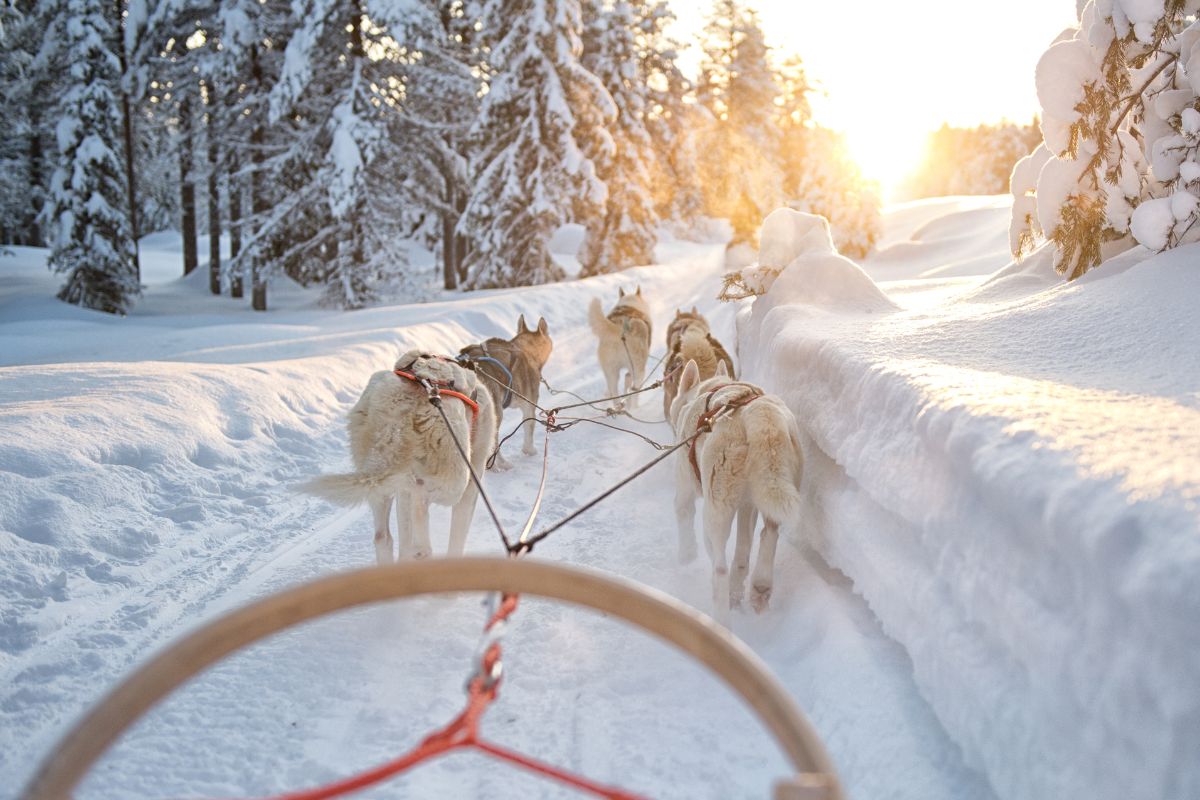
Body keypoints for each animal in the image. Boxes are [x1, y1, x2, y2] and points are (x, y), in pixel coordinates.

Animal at [307, 350, 504, 563]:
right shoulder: (472, 485)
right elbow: (456, 541)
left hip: (379, 477)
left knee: (383, 536)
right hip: (455, 477)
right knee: (420, 510)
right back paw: (421, 547)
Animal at [456, 316, 554, 472]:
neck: (524, 349)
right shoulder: (529, 403)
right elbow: (529, 425)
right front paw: (529, 450)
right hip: (496, 412)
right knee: (493, 442)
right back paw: (501, 464)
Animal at [672, 359, 801, 623]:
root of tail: (758, 415)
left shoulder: (684, 483)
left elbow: (684, 514)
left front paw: (687, 557)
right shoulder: (747, 505)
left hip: (716, 507)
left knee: (720, 566)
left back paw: (721, 617)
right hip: (773, 483)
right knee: (765, 536)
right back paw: (757, 588)